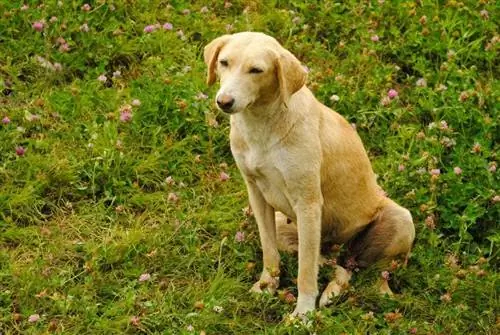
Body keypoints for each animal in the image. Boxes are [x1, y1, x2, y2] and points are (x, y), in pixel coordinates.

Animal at [203, 32, 414, 318]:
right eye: (224, 62)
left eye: (256, 70)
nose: (224, 102)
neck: (262, 124)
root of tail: (340, 248)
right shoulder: (257, 194)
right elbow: (269, 252)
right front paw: (267, 287)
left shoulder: (308, 204)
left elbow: (304, 272)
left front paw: (303, 314)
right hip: (290, 229)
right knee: (339, 268)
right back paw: (332, 292)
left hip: (400, 221)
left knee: (373, 273)